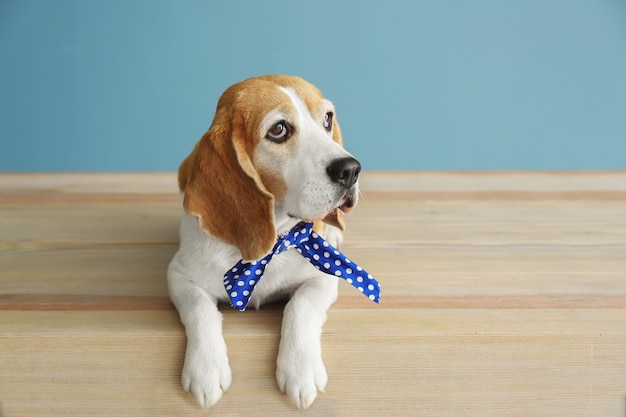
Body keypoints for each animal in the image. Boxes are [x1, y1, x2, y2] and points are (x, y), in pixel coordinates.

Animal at [167, 73, 360, 408]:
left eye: (327, 119)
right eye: (278, 130)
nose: (351, 170)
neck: (272, 244)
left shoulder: (323, 277)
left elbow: (299, 306)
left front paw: (300, 370)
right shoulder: (178, 275)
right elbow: (200, 309)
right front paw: (206, 370)